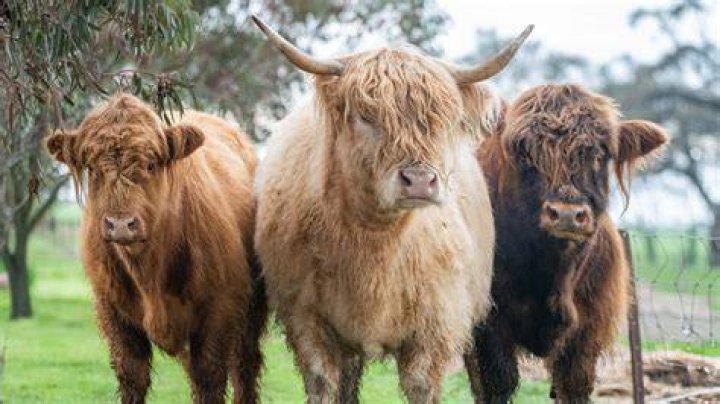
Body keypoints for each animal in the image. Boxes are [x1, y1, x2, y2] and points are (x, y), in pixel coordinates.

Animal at [46, 94, 267, 404]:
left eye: (151, 165)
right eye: (94, 168)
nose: (121, 224)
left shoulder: (219, 309)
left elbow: (210, 378)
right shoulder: (113, 312)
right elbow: (132, 375)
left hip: (251, 310)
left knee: (245, 365)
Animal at [251, 16, 532, 404]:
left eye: (440, 119)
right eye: (367, 115)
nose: (420, 180)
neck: (375, 245)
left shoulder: (434, 330)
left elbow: (422, 387)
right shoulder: (307, 323)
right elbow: (324, 385)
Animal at [465, 84, 668, 403]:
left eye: (600, 156)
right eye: (525, 154)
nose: (567, 215)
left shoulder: (587, 330)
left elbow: (574, 386)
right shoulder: (488, 326)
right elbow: (496, 383)